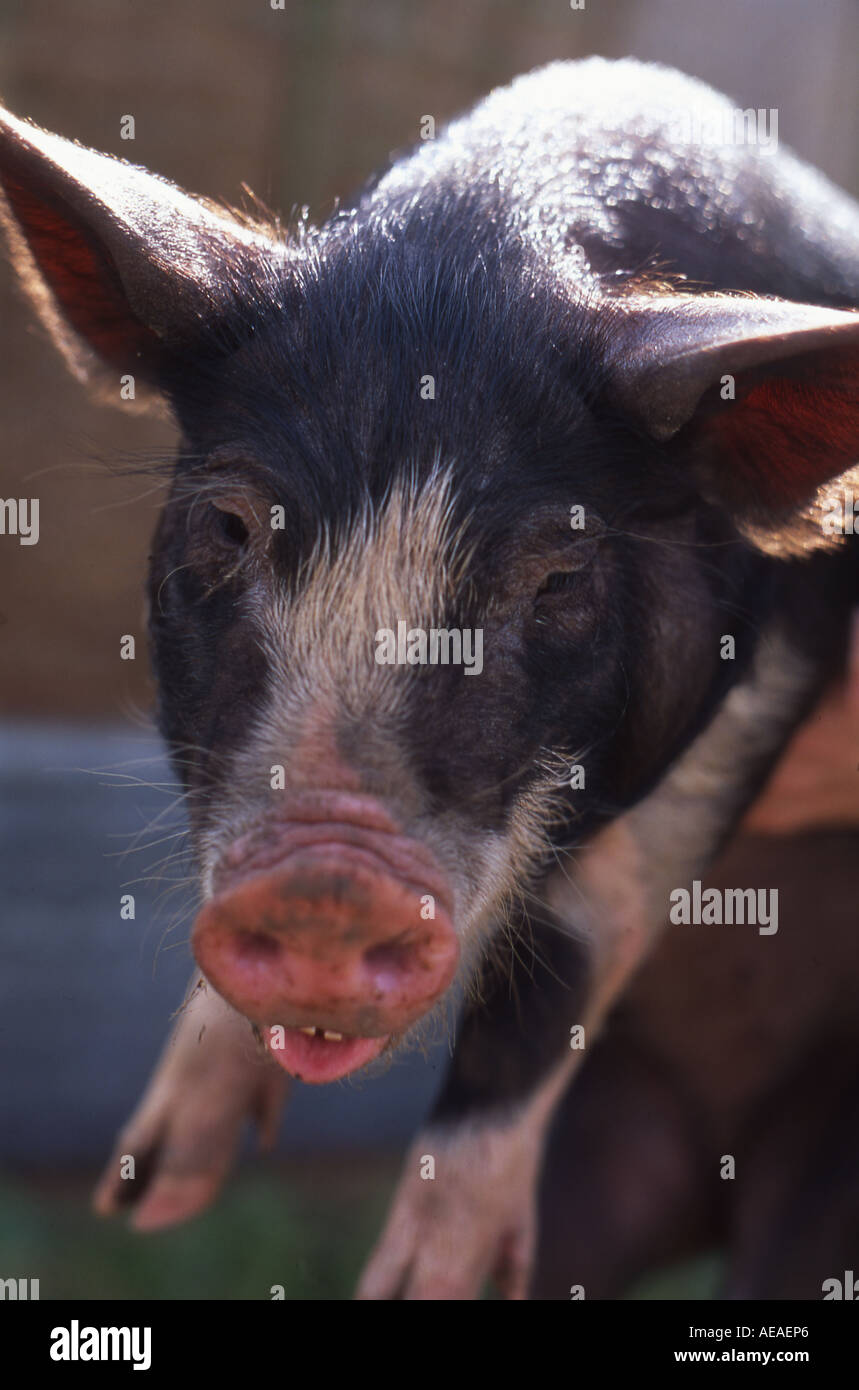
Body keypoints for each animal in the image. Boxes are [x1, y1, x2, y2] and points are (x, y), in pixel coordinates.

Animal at [1, 57, 858, 1298]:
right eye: (228, 524)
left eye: (557, 577)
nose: (324, 880)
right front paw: (146, 1191)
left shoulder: (785, 657)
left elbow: (600, 904)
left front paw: (424, 1284)